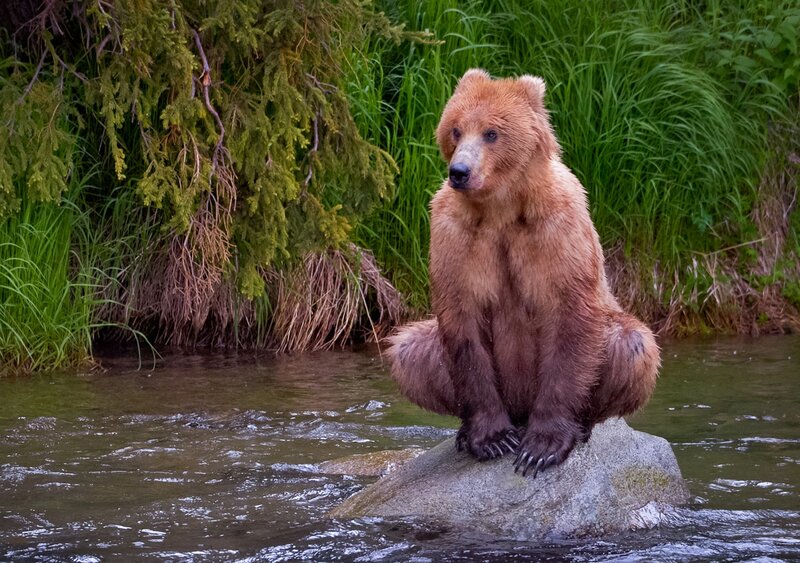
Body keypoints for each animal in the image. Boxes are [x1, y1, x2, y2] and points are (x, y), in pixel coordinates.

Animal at [387, 69, 660, 478]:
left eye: (491, 132)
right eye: (455, 129)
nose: (460, 172)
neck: (501, 207)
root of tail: (520, 410)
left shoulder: (557, 229)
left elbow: (570, 315)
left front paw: (542, 447)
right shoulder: (455, 234)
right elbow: (463, 321)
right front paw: (491, 438)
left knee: (633, 343)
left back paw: (582, 426)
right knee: (409, 350)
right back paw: (465, 431)